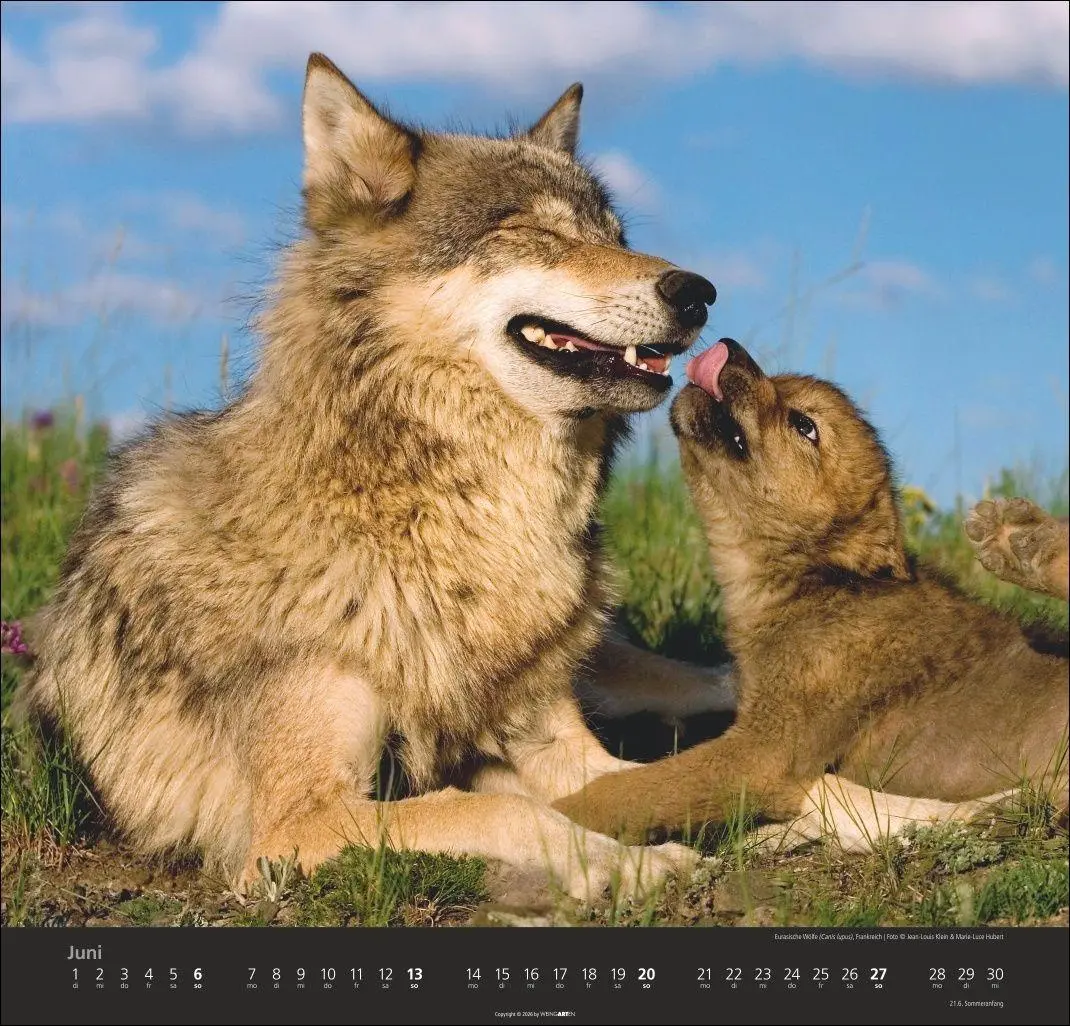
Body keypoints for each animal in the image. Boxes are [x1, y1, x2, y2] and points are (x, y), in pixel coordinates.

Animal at [17, 54, 719, 899]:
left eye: (618, 238)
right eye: (536, 231)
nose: (698, 292)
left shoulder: (551, 741)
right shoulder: (294, 824)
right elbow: (502, 809)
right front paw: (632, 865)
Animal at [556, 339, 1068, 845]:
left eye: (805, 425)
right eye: (778, 383)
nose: (729, 345)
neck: (807, 587)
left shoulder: (761, 754)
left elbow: (624, 790)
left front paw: (552, 822)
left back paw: (1025, 542)